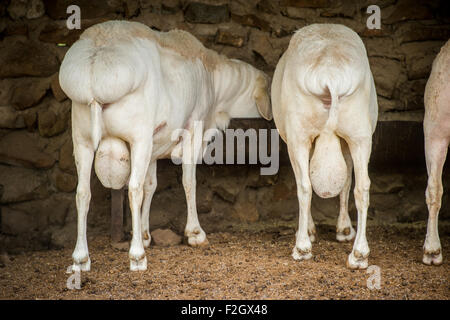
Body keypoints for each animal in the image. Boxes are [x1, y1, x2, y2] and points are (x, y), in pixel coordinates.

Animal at [59, 20, 270, 272]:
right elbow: (188, 182)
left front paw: (145, 234)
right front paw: (195, 233)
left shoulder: (154, 146)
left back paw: (81, 259)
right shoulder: (192, 132)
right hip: (137, 137)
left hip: (82, 138)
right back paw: (137, 257)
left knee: (83, 192)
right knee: (133, 189)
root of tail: (94, 69)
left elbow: (151, 186)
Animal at [270, 25, 380, 268]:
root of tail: (331, 74)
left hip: (299, 135)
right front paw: (344, 229)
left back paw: (302, 247)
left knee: (304, 186)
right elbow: (347, 181)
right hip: (359, 134)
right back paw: (359, 254)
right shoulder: (346, 141)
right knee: (362, 186)